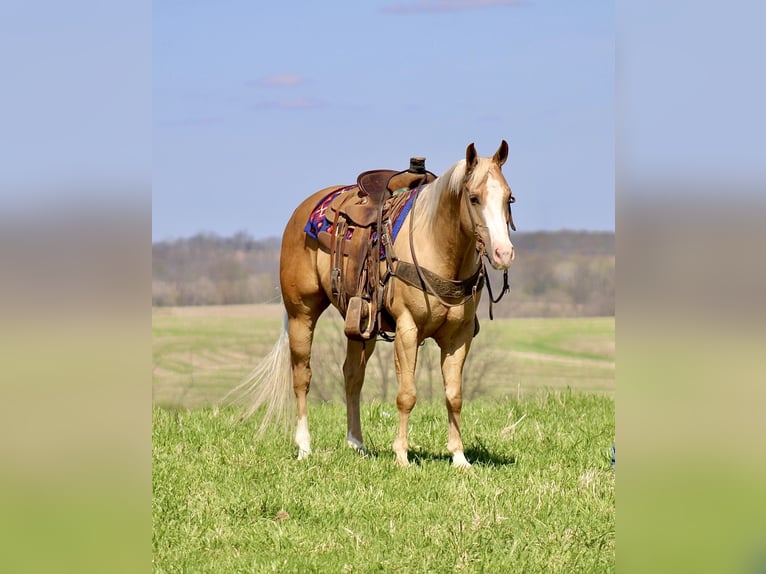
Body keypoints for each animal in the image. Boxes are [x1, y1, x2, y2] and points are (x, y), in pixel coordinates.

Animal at [231, 141, 515, 468]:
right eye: (474, 198)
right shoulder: (407, 330)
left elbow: (454, 395)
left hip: (358, 322)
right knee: (302, 377)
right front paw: (402, 456)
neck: (436, 245)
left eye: (509, 197)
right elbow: (407, 394)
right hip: (301, 314)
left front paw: (459, 458)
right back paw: (304, 447)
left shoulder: (460, 335)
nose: (503, 253)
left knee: (352, 376)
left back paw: (357, 443)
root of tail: (304, 209)